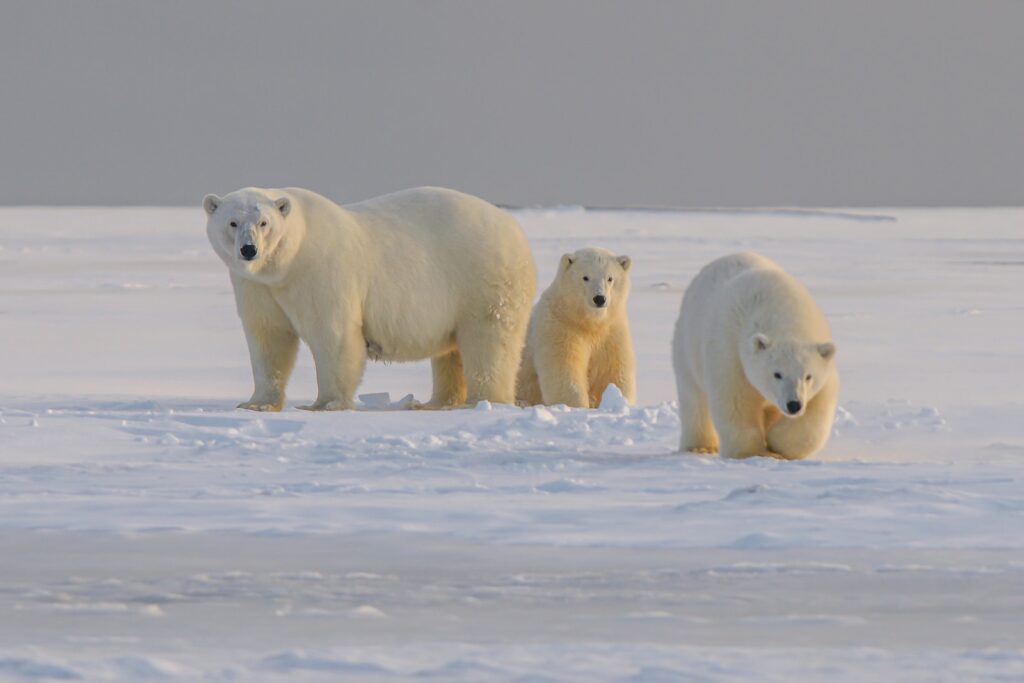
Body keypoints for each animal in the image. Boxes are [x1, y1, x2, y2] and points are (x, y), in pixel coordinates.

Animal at [203, 186, 537, 411]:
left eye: (264, 223)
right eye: (232, 222)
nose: (249, 250)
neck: (288, 262)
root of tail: (514, 228)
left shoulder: (321, 272)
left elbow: (333, 335)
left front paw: (325, 404)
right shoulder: (257, 286)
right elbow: (268, 338)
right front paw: (256, 403)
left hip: (482, 279)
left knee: (489, 341)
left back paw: (483, 400)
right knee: (451, 352)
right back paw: (436, 402)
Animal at [516, 247, 635, 408]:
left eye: (610, 278)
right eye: (585, 277)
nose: (599, 298)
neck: (588, 322)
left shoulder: (612, 331)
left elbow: (613, 370)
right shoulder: (560, 326)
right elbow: (565, 370)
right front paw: (578, 405)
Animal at [671, 252, 838, 460]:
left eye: (808, 376)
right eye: (777, 374)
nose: (794, 405)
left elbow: (817, 409)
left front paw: (777, 443)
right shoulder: (730, 352)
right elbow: (735, 401)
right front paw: (752, 452)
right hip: (687, 345)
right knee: (694, 398)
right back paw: (700, 447)